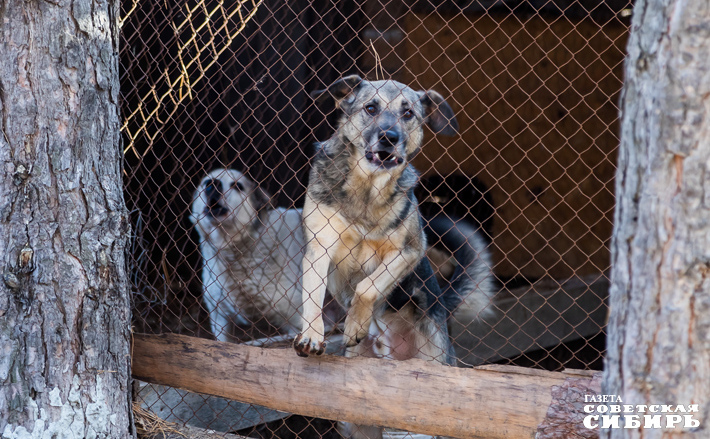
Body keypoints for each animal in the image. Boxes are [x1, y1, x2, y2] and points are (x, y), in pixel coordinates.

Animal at [294, 75, 496, 364]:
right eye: (370, 108)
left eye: (408, 113)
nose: (389, 137)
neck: (366, 190)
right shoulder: (319, 248)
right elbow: (312, 298)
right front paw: (311, 336)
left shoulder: (409, 250)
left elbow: (367, 286)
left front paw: (355, 323)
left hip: (435, 356)